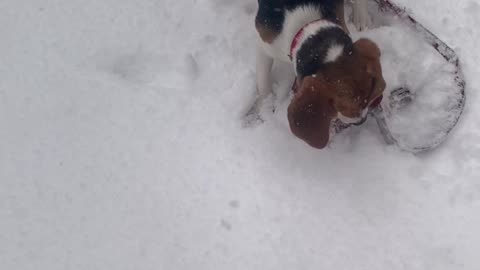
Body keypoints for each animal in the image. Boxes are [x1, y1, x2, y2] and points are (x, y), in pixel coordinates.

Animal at [255, 0, 386, 149]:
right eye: (341, 106)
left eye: (367, 98)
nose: (361, 121)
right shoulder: (265, 47)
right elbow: (263, 83)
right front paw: (265, 108)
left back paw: (361, 17)